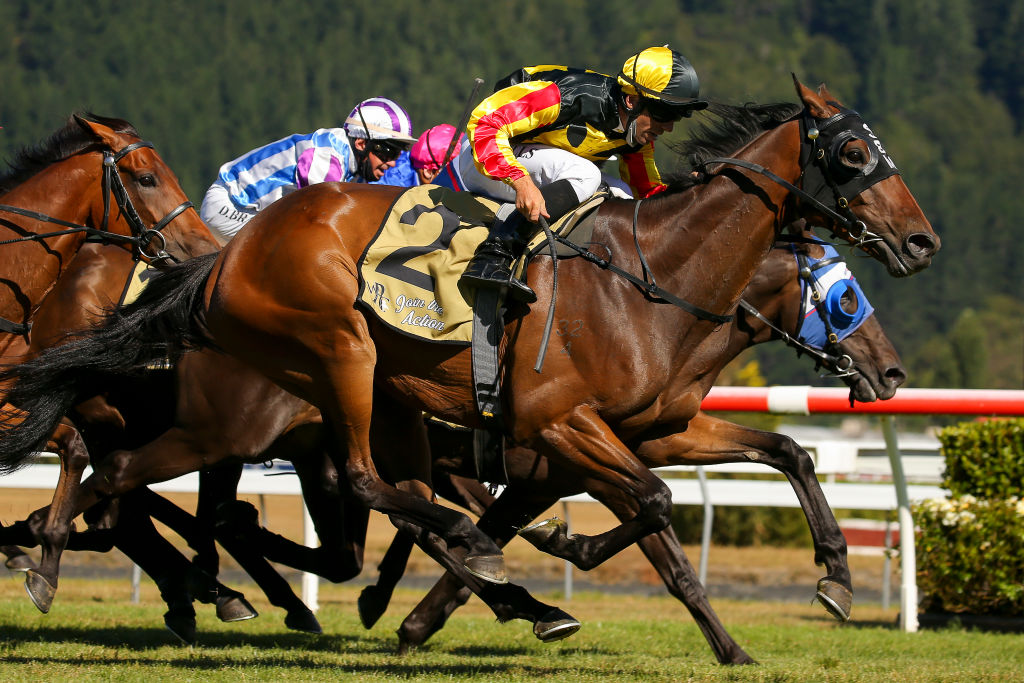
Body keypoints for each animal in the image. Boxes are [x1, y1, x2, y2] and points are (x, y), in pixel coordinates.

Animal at [0, 79, 938, 643]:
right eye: (854, 154)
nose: (922, 242)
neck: (655, 280)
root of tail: (223, 259)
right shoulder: (560, 428)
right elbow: (649, 507)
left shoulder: (645, 429)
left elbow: (781, 455)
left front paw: (829, 582)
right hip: (321, 366)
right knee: (288, 489)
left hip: (345, 407)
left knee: (146, 485)